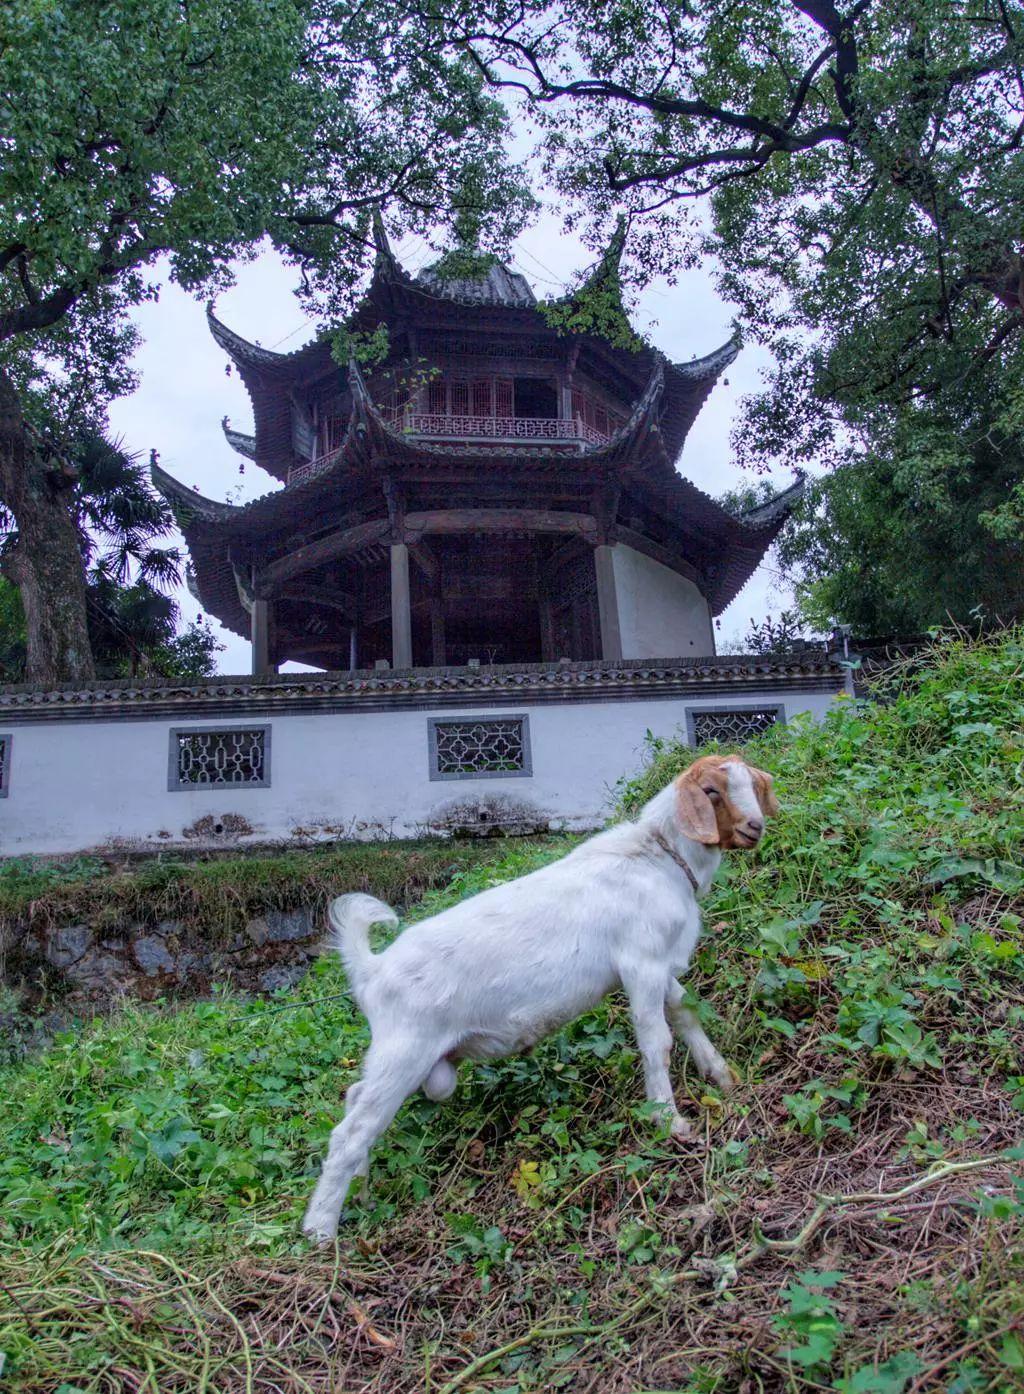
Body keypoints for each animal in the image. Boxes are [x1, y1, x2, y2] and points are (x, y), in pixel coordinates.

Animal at [302, 752, 774, 1243]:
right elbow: (655, 1042)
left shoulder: (660, 967)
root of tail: (372, 971)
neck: (659, 859)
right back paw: (320, 1231)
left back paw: (361, 1193)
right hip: (405, 1050)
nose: (754, 827)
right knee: (350, 1132)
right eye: (712, 791)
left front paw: (723, 1075)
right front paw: (671, 1122)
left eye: (751, 784)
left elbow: (684, 1013)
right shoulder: (640, 963)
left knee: (356, 1098)